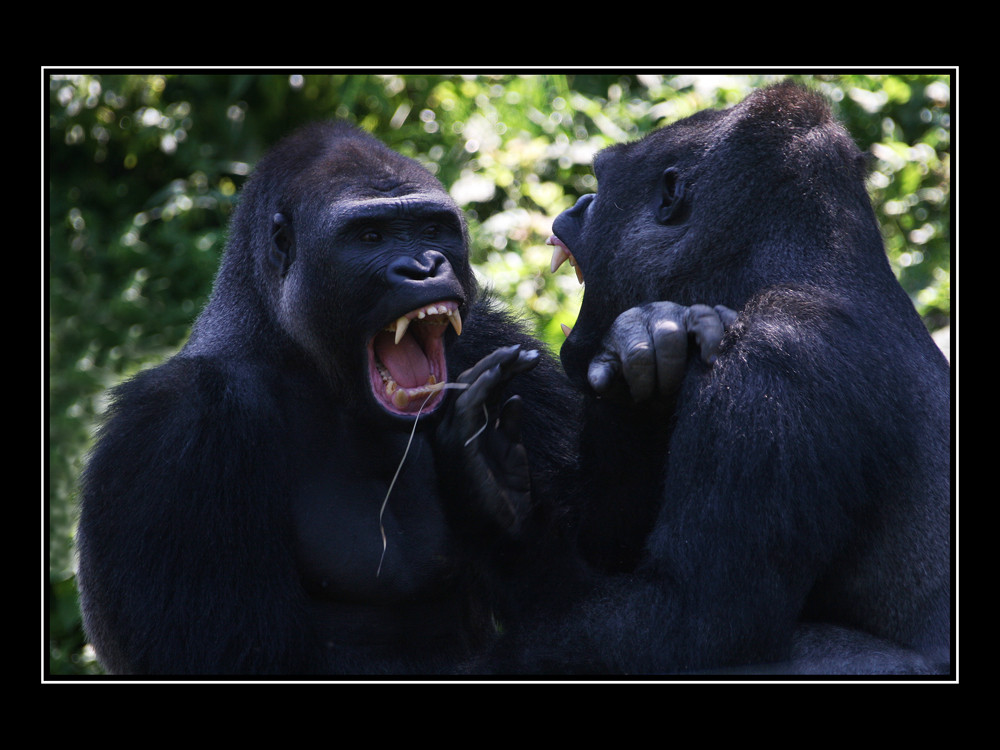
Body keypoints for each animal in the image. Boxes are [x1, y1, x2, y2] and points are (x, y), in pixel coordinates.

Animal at [78, 122, 720, 676]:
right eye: (370, 236)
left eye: (433, 230)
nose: (424, 266)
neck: (294, 352)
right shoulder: (175, 428)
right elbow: (236, 656)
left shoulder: (492, 342)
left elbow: (600, 560)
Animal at [520, 81, 948, 676]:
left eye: (601, 186)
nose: (577, 207)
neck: (785, 266)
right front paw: (642, 355)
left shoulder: (775, 357)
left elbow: (694, 623)